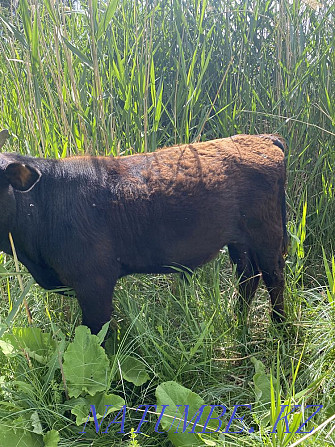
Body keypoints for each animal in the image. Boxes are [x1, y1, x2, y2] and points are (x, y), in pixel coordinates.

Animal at [0, 131, 288, 334]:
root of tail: (262, 138)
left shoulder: (94, 283)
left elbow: (97, 336)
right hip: (240, 241)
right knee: (248, 277)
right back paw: (237, 322)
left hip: (266, 234)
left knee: (273, 277)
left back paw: (280, 330)